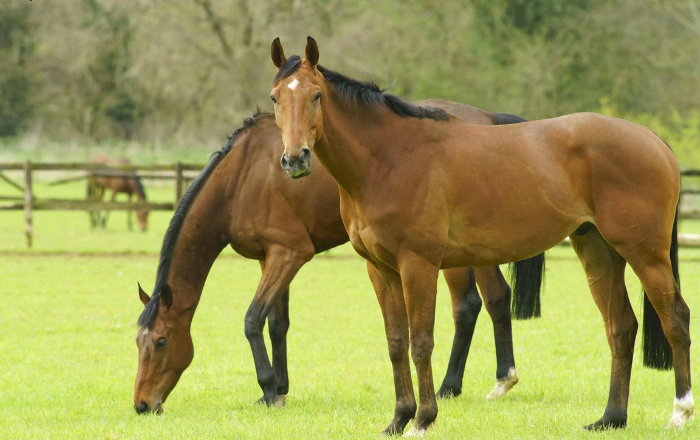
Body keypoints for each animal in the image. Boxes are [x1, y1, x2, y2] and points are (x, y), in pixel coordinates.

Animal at [134, 105, 540, 414]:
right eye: (138, 343)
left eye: (161, 342)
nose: (142, 405)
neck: (242, 178)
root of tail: (486, 117)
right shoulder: (271, 258)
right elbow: (277, 324)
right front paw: (279, 387)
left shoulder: (290, 253)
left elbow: (252, 320)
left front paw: (268, 389)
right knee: (483, 302)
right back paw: (476, 382)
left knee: (478, 303)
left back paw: (470, 383)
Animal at [270, 36, 692, 434]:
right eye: (275, 97)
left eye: (316, 95)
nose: (295, 159)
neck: (389, 158)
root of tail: (653, 139)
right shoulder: (380, 269)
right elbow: (396, 344)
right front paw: (398, 419)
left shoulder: (418, 265)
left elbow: (421, 342)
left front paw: (423, 420)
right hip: (598, 252)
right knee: (621, 327)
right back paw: (611, 418)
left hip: (645, 254)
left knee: (676, 319)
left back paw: (679, 413)